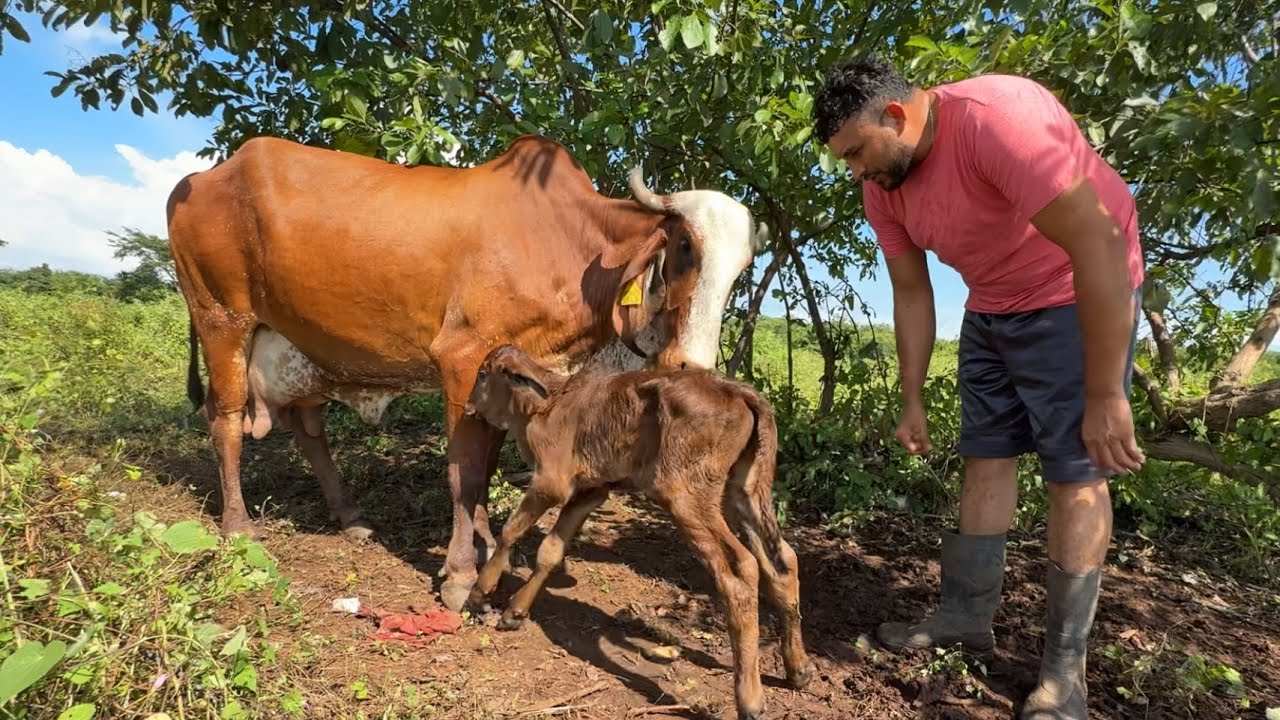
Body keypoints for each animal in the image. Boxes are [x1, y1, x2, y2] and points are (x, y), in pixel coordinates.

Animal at [166, 134, 768, 611]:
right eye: (685, 246)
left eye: (743, 268)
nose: (692, 364)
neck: (568, 245)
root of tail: (203, 176)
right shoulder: (460, 357)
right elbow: (464, 472)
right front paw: (460, 572)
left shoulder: (504, 380)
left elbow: (488, 463)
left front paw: (486, 547)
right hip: (222, 318)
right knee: (225, 421)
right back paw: (238, 527)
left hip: (298, 344)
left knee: (309, 430)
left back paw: (350, 515)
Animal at [462, 344, 814, 720]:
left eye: (483, 374)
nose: (469, 409)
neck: (547, 404)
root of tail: (739, 392)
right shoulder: (592, 490)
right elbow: (551, 551)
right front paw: (516, 611)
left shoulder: (550, 483)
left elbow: (511, 531)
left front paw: (480, 593)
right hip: (745, 490)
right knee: (782, 561)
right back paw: (799, 668)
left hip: (686, 495)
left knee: (740, 572)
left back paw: (750, 699)